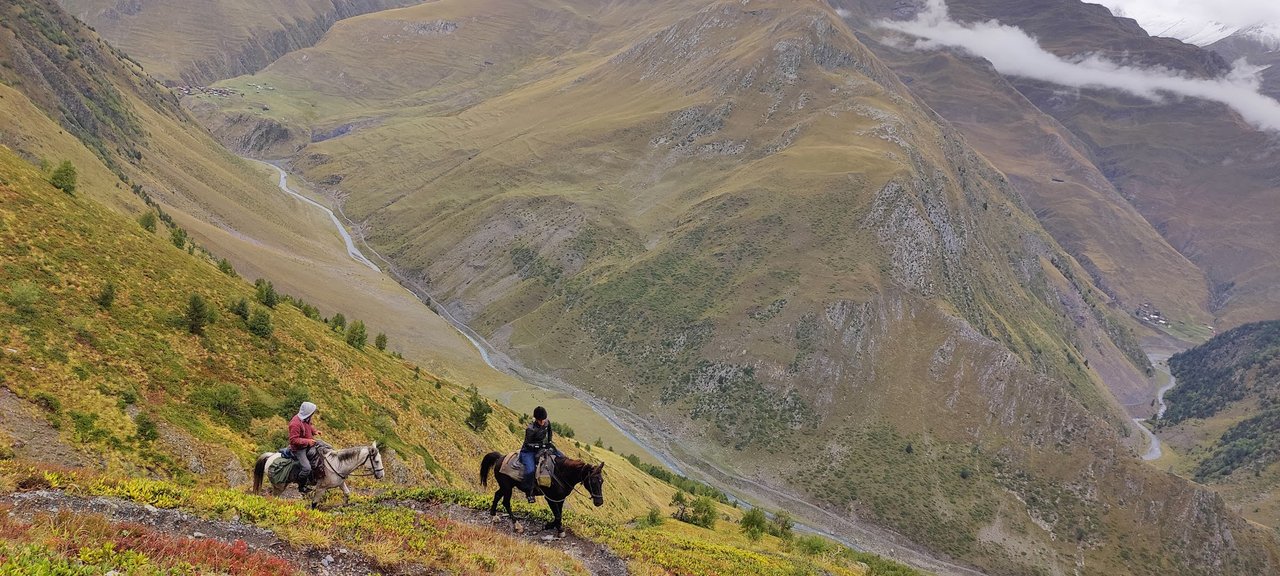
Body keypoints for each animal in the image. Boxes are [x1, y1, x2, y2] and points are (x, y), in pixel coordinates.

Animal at [250, 440, 384, 509]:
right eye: (377, 461)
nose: (381, 475)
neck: (337, 464)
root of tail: (270, 456)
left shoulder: (341, 483)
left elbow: (347, 493)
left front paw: (345, 505)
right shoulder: (321, 488)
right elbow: (314, 504)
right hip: (279, 486)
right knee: (274, 497)